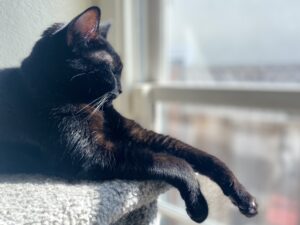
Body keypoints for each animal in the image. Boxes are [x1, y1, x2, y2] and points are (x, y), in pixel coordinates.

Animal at [0, 7, 258, 223]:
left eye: (120, 70)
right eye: (112, 70)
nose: (121, 90)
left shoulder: (137, 134)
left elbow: (202, 156)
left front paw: (243, 196)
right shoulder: (93, 154)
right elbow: (175, 162)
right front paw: (198, 204)